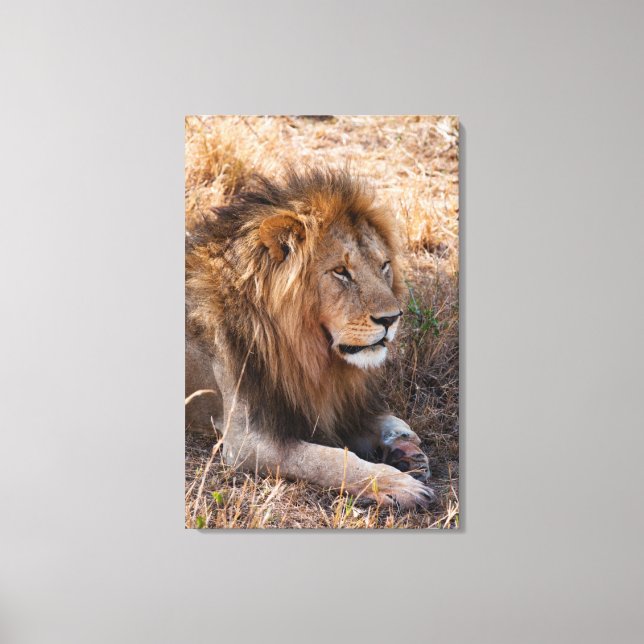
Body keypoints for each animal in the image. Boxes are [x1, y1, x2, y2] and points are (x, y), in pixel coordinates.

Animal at [185, 168, 434, 509]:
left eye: (384, 266)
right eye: (341, 271)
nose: (391, 319)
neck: (309, 353)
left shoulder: (330, 400)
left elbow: (390, 421)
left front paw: (405, 449)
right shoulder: (248, 441)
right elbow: (329, 459)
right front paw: (394, 482)